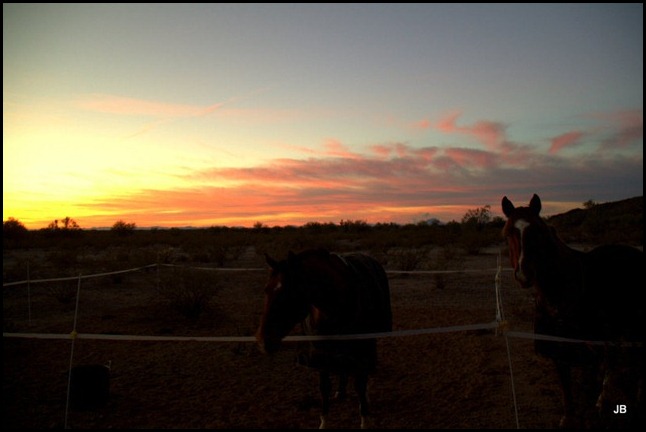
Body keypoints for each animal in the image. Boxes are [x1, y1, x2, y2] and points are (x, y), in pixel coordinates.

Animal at [256, 248, 392, 426]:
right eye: (266, 289)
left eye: (290, 293)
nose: (264, 341)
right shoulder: (321, 353)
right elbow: (324, 387)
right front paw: (324, 422)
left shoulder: (359, 347)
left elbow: (360, 384)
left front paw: (364, 420)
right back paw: (341, 392)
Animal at [504, 193, 644, 428]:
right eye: (507, 233)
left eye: (539, 231)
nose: (524, 275)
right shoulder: (558, 349)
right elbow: (566, 389)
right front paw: (570, 416)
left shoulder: (589, 348)